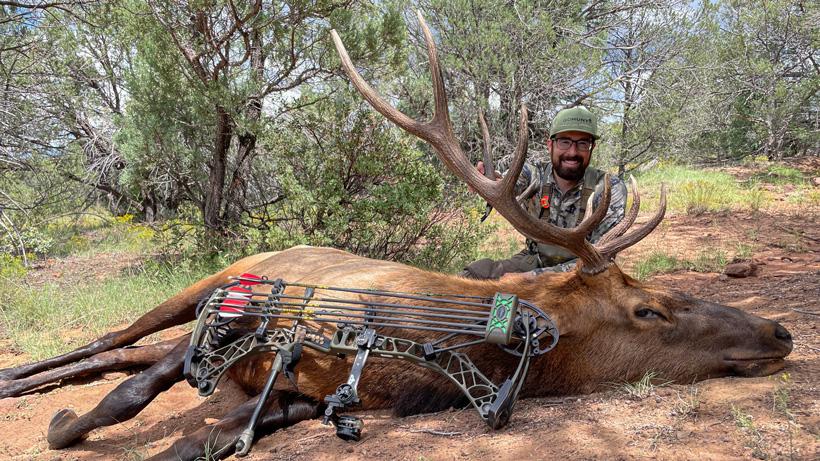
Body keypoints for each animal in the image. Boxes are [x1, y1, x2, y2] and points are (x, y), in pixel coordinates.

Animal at [0, 14, 792, 461]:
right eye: (647, 309)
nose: (781, 330)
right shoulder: (246, 319)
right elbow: (130, 395)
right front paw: (62, 426)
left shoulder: (311, 394)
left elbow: (206, 434)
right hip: (215, 280)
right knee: (111, 341)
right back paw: (19, 377)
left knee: (117, 351)